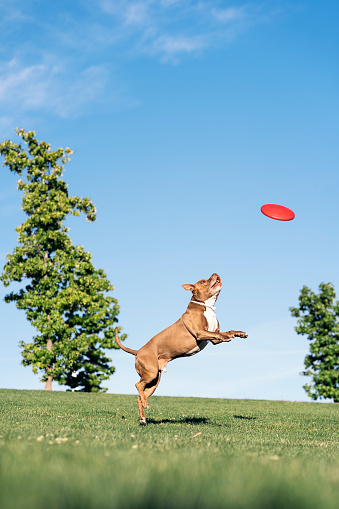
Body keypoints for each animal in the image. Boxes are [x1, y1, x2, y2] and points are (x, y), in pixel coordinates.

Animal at [115, 272, 248, 422]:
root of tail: (138, 351)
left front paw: (239, 333)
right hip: (151, 373)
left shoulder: (214, 338)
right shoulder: (201, 332)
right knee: (137, 385)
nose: (215, 273)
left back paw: (143, 416)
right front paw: (227, 337)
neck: (207, 306)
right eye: (203, 281)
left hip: (154, 381)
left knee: (140, 395)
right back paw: (144, 408)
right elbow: (217, 334)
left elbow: (226, 332)